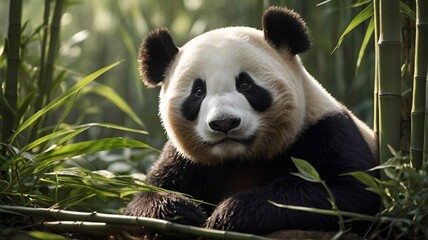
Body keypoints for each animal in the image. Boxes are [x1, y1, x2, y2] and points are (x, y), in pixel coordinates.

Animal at [125, 6, 380, 239]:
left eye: (245, 84)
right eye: (198, 92)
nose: (224, 123)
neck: (240, 160)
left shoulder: (326, 130)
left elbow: (351, 194)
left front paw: (229, 214)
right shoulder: (184, 161)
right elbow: (142, 198)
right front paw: (181, 212)